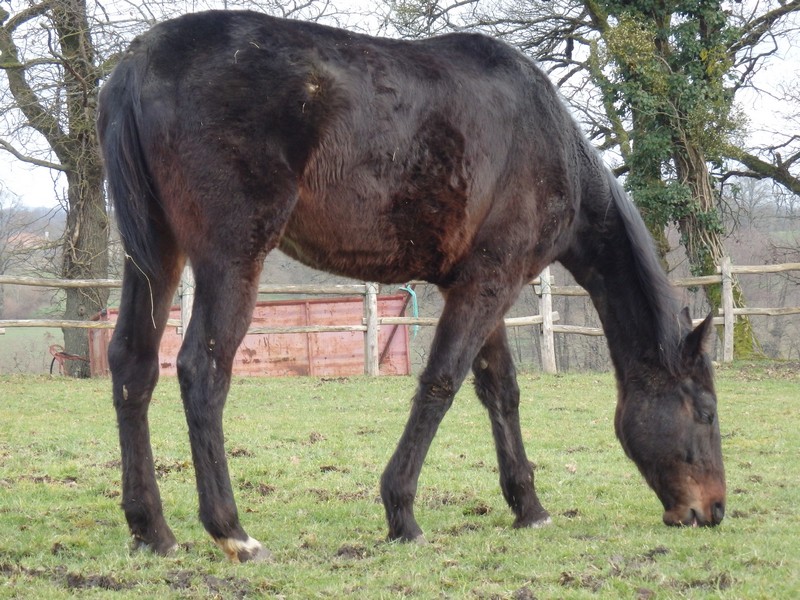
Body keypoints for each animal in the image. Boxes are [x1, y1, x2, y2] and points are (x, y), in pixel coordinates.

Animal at [95, 10, 724, 564]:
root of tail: (137, 63)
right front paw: (401, 514)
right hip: (230, 259)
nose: (713, 511)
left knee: (133, 366)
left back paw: (152, 530)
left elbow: (501, 390)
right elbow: (440, 383)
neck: (553, 146)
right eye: (706, 411)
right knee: (202, 372)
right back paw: (233, 533)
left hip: (155, 255)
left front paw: (529, 507)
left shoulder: (480, 284)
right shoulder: (491, 281)